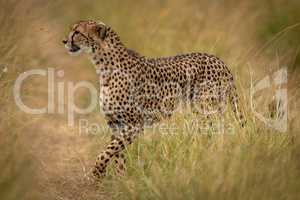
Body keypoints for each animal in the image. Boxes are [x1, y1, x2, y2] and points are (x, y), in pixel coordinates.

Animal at [62, 20, 245, 179]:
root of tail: (218, 60)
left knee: (216, 134)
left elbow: (107, 152)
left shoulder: (134, 124)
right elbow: (117, 154)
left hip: (206, 111)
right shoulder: (116, 123)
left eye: (77, 32)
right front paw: (121, 179)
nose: (64, 41)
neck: (103, 65)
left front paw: (97, 173)